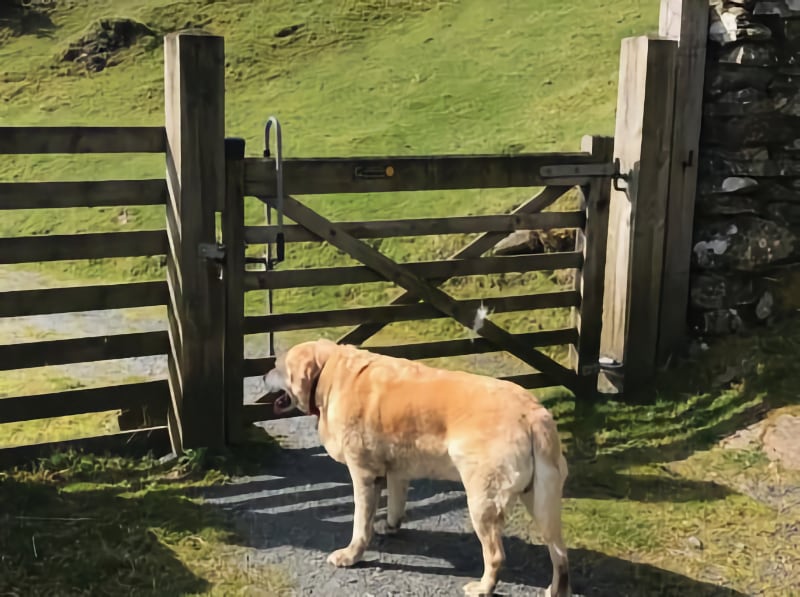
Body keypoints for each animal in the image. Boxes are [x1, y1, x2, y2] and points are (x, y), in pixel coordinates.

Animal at [266, 338, 572, 592]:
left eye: (278, 366)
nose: (263, 374)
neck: (328, 371)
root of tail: (533, 413)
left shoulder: (364, 474)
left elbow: (360, 523)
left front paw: (351, 555)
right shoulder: (397, 471)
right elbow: (396, 502)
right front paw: (391, 526)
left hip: (483, 501)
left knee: (496, 554)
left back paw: (483, 588)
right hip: (542, 501)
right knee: (560, 553)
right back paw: (555, 589)